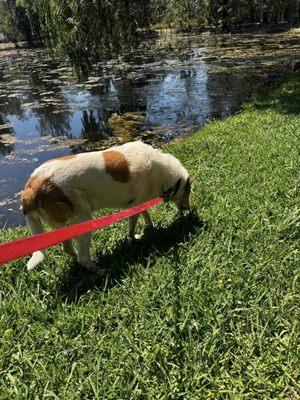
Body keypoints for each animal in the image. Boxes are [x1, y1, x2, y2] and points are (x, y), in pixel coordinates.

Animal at [20, 141, 190, 272]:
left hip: (64, 226)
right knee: (83, 257)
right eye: (188, 193)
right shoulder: (133, 207)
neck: (162, 171)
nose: (187, 209)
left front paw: (151, 227)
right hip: (83, 220)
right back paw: (100, 271)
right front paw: (134, 238)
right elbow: (132, 226)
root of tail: (32, 186)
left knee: (68, 249)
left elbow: (146, 215)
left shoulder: (139, 203)